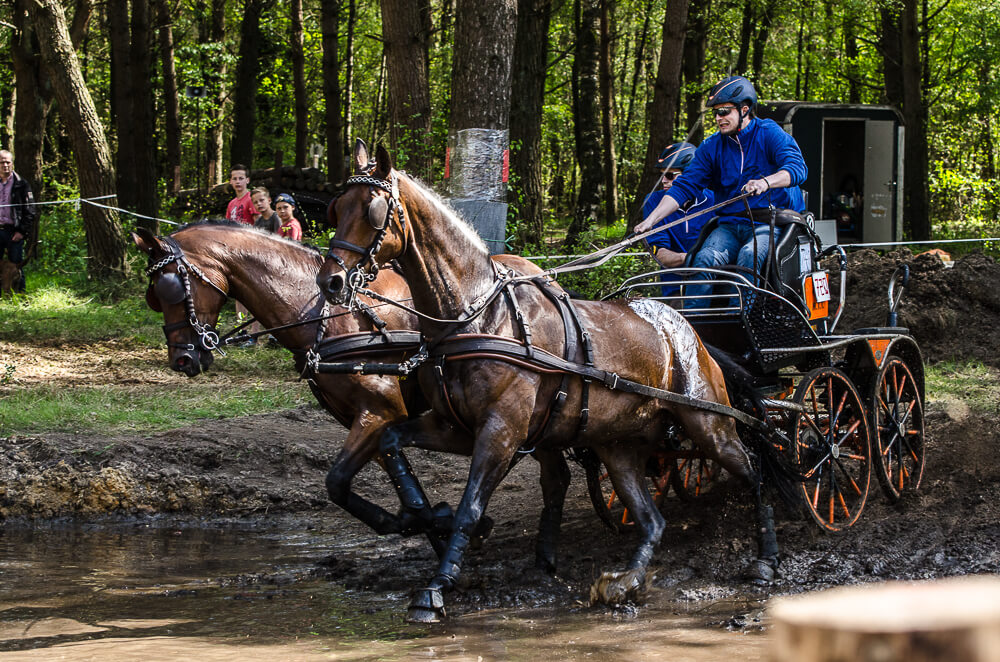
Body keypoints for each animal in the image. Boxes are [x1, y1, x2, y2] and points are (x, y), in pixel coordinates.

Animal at [316, 143, 776, 624]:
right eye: (336, 208)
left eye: (373, 210)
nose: (330, 281)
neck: (477, 315)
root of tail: (690, 330)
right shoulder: (455, 427)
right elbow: (391, 441)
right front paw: (420, 515)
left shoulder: (501, 430)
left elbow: (470, 507)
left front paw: (437, 587)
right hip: (617, 446)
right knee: (652, 519)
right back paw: (626, 581)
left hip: (708, 426)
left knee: (754, 472)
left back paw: (765, 559)